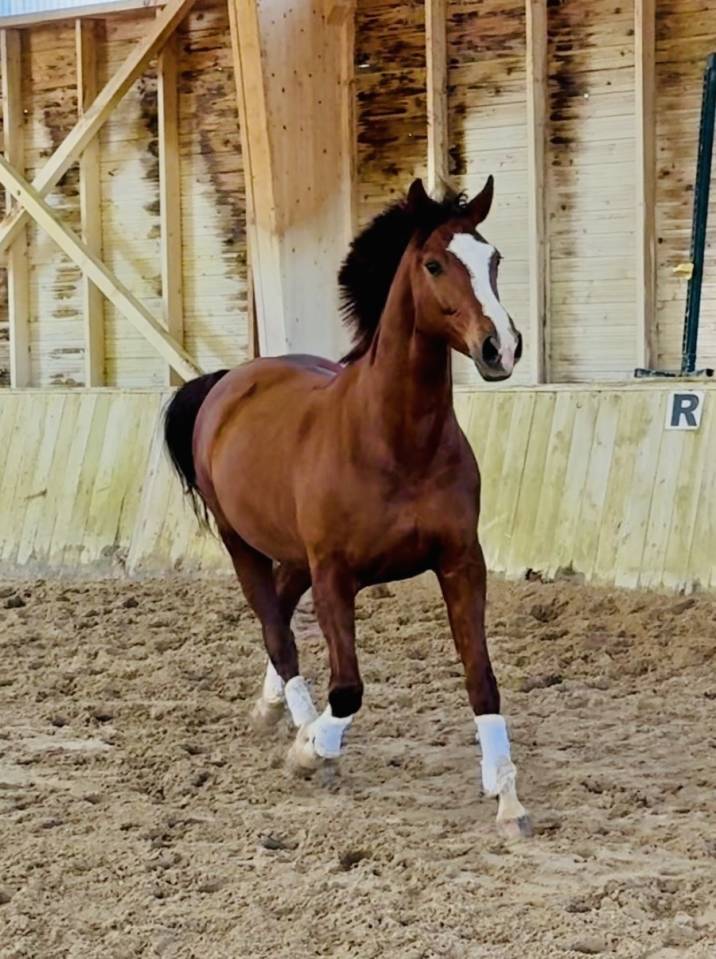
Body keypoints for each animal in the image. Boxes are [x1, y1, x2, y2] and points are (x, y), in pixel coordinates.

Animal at [164, 177, 531, 839]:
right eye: (434, 264)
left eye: (493, 260)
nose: (501, 349)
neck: (397, 443)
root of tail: (229, 380)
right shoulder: (336, 574)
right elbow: (348, 689)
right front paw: (311, 751)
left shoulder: (462, 563)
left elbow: (481, 678)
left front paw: (507, 796)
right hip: (241, 543)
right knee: (276, 631)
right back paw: (298, 726)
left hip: (291, 553)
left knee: (280, 613)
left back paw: (271, 708)